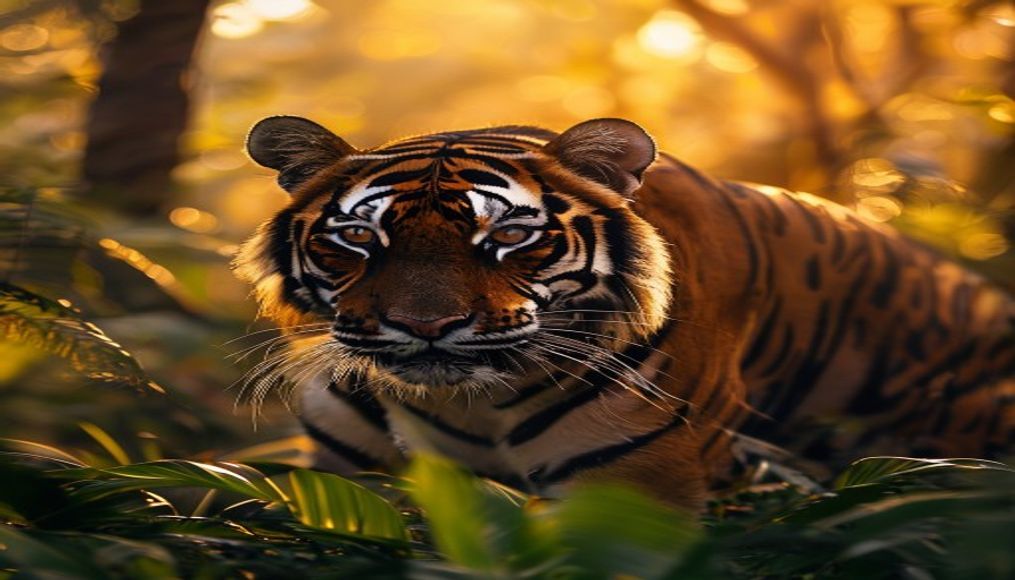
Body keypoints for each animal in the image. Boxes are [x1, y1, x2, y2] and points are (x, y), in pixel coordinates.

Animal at [235, 115, 1014, 510]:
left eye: (509, 236)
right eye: (357, 238)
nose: (426, 327)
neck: (466, 404)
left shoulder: (632, 488)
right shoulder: (345, 477)